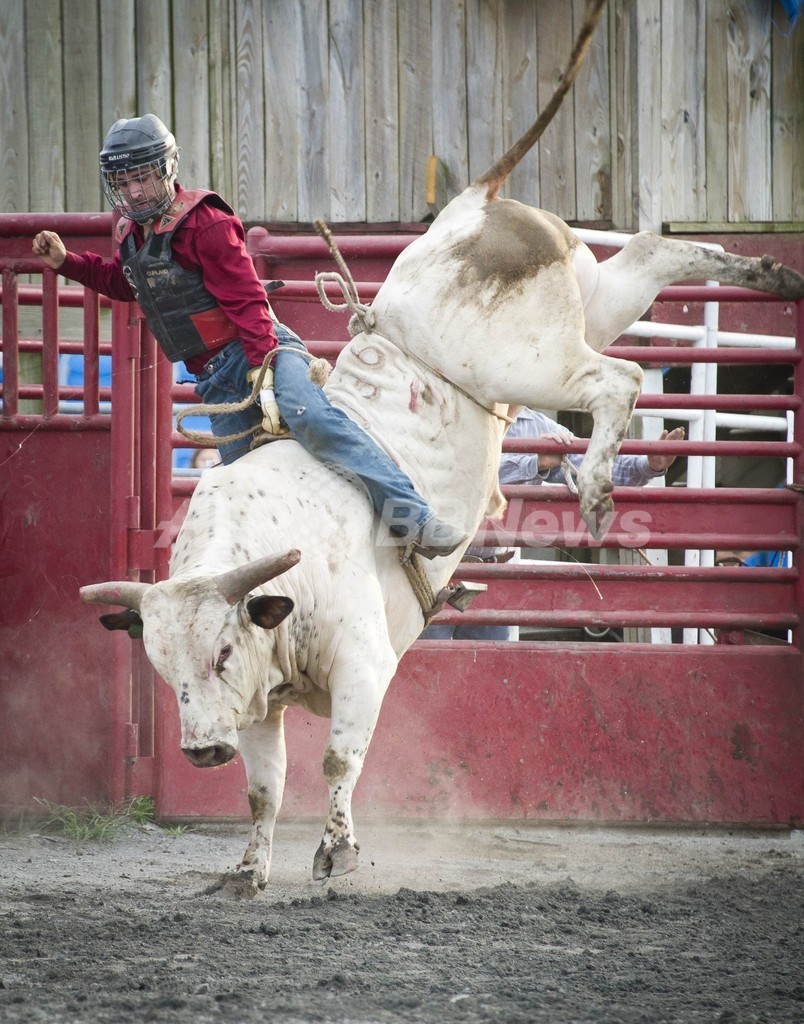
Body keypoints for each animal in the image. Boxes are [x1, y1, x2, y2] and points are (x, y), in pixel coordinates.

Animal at [78, 0, 798, 892]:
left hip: (528, 361)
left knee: (619, 378)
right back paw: (772, 274)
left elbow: (338, 762)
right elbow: (263, 788)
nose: (200, 750)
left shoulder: (362, 666)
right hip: (593, 298)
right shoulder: (260, 698)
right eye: (162, 663)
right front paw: (247, 870)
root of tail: (468, 208)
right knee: (657, 252)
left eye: (217, 650)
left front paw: (338, 851)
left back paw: (597, 492)